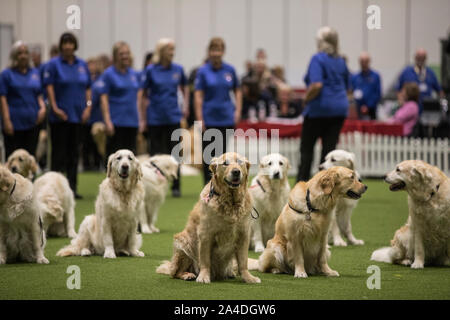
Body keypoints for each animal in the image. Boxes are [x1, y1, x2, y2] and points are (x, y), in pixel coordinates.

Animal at [156, 153, 260, 284]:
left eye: (240, 162)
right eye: (225, 163)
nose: (236, 172)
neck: (230, 202)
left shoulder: (243, 234)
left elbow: (243, 262)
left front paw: (248, 278)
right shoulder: (205, 234)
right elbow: (205, 260)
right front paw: (204, 276)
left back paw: (230, 273)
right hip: (183, 243)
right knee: (175, 272)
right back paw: (188, 275)